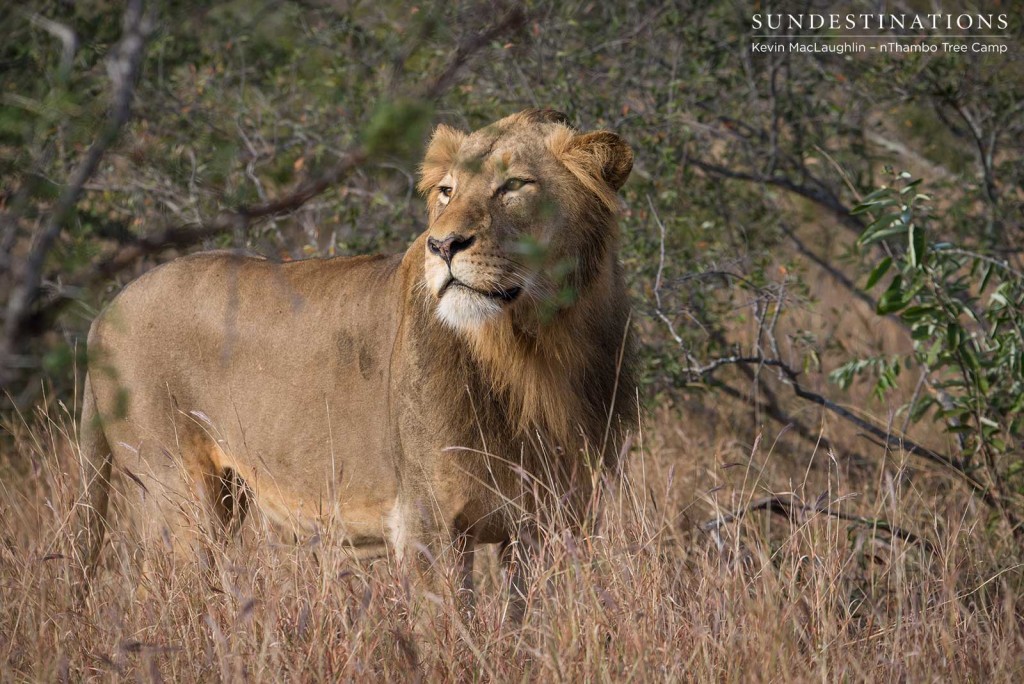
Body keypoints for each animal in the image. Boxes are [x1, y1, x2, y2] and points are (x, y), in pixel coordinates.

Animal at [79, 109, 634, 610]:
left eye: (514, 185)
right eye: (447, 191)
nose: (443, 244)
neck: (534, 353)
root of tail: (104, 311)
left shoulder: (552, 525)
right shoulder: (428, 523)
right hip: (183, 498)